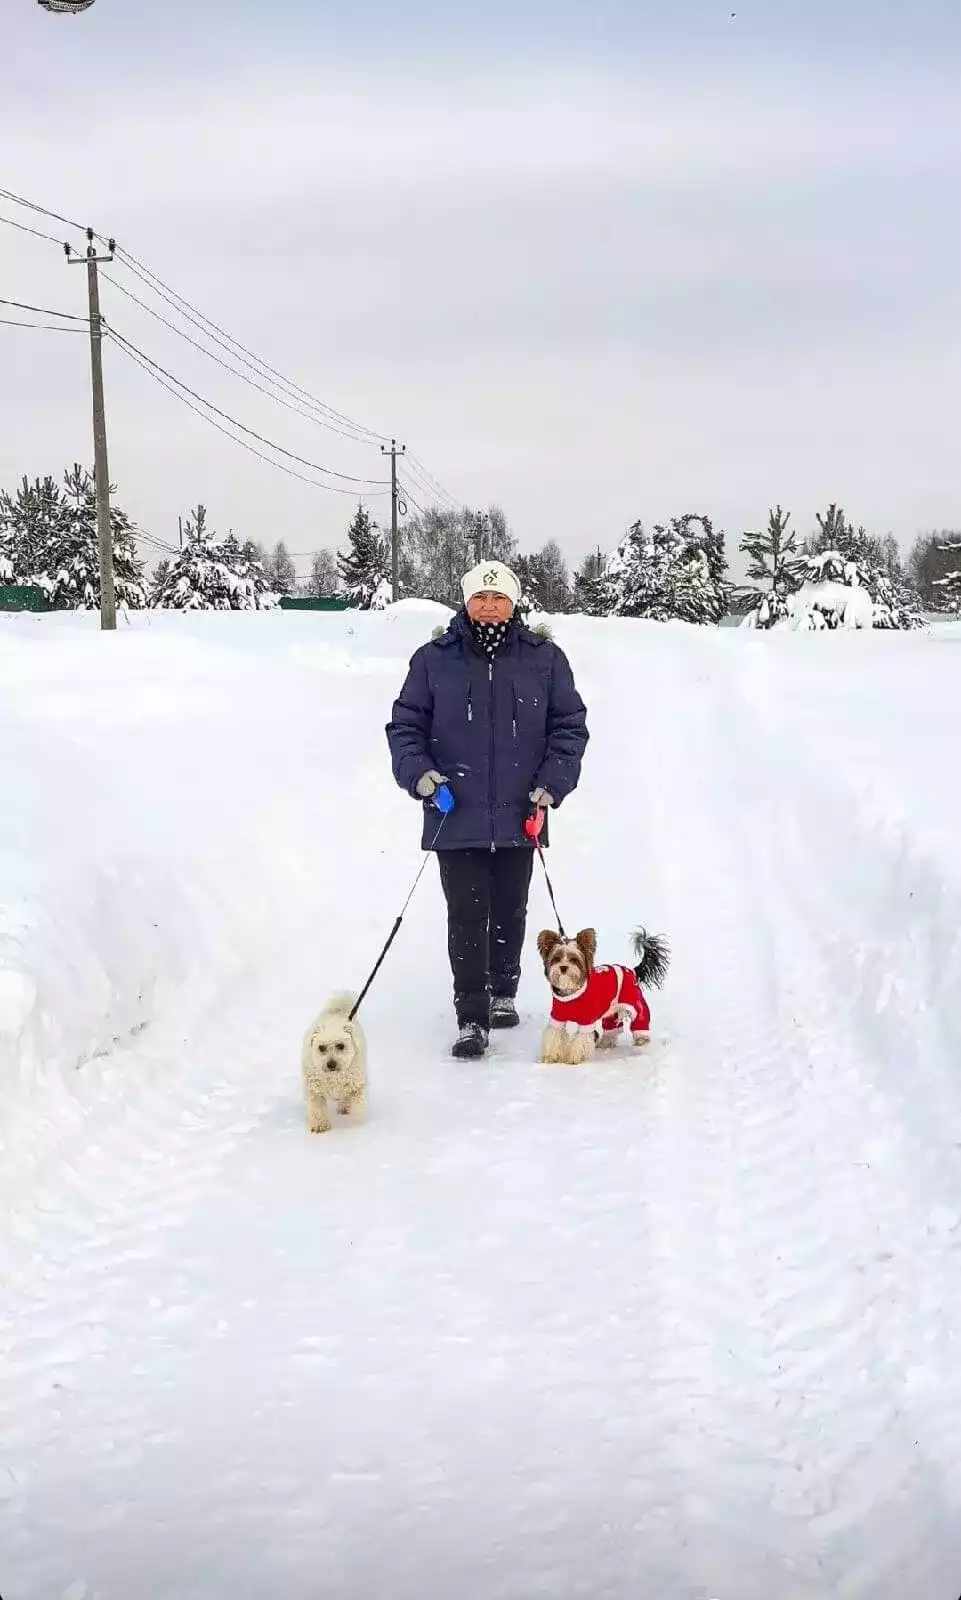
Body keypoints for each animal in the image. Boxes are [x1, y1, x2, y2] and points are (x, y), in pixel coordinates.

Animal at [300, 992, 367, 1132]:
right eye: (321, 1047)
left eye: (340, 1046)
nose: (331, 1064)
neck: (334, 1077)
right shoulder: (314, 1088)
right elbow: (317, 1107)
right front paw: (320, 1125)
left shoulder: (356, 1083)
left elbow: (354, 1097)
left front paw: (350, 1110)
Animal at [540, 928, 668, 1062]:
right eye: (556, 958)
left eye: (574, 959)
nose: (563, 967)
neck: (571, 991)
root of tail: (632, 971)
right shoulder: (557, 1018)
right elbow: (554, 1034)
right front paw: (549, 1057)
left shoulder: (587, 1021)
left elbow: (581, 1040)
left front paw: (574, 1058)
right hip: (611, 1010)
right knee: (611, 1028)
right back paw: (606, 1042)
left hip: (635, 1002)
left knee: (641, 1018)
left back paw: (642, 1039)